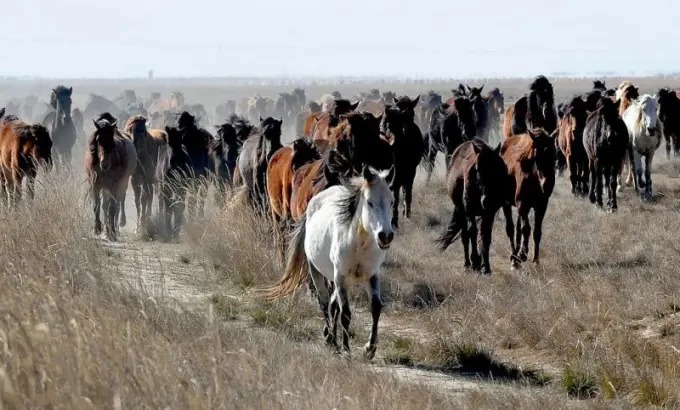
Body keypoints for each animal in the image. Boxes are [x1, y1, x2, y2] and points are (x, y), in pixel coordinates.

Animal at [259, 166, 394, 359]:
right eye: (369, 202)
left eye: (391, 202)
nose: (385, 236)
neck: (358, 245)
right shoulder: (341, 277)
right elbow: (345, 313)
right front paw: (346, 349)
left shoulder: (372, 276)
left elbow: (375, 308)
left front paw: (370, 349)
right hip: (317, 272)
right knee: (324, 303)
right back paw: (332, 340)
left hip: (333, 278)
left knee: (332, 305)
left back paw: (332, 339)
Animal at [381, 96, 424, 228]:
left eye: (412, 113)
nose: (404, 130)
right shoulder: (400, 169)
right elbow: (398, 193)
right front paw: (396, 219)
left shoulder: (409, 169)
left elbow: (406, 191)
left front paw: (406, 214)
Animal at [437, 139, 510, 274]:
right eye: (476, 169)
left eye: (496, 168)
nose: (486, 200)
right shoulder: (469, 210)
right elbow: (472, 232)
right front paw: (475, 262)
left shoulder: (490, 211)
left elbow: (485, 234)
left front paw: (486, 266)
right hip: (461, 210)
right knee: (465, 235)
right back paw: (467, 263)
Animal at [499, 128, 556, 268]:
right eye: (537, 157)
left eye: (554, 156)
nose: (547, 185)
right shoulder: (523, 204)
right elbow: (526, 229)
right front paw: (522, 255)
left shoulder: (541, 206)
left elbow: (537, 232)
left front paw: (536, 261)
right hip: (507, 203)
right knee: (510, 228)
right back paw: (514, 258)